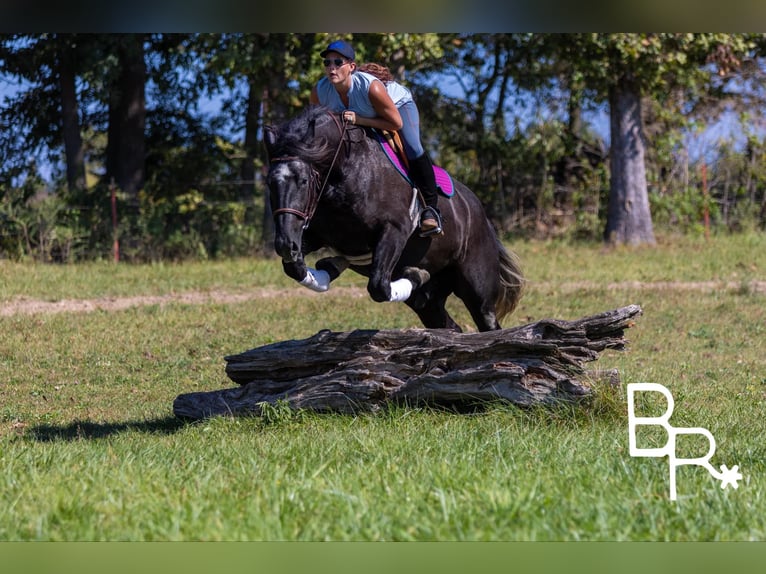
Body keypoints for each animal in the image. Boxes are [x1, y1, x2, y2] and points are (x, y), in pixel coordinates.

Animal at [263, 105, 524, 332]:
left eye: (304, 181)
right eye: (270, 184)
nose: (284, 244)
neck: (345, 171)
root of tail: (481, 215)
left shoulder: (394, 230)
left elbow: (378, 286)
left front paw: (414, 274)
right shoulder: (314, 236)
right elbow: (294, 268)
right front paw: (330, 264)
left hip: (477, 290)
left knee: (487, 324)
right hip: (432, 301)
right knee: (443, 319)